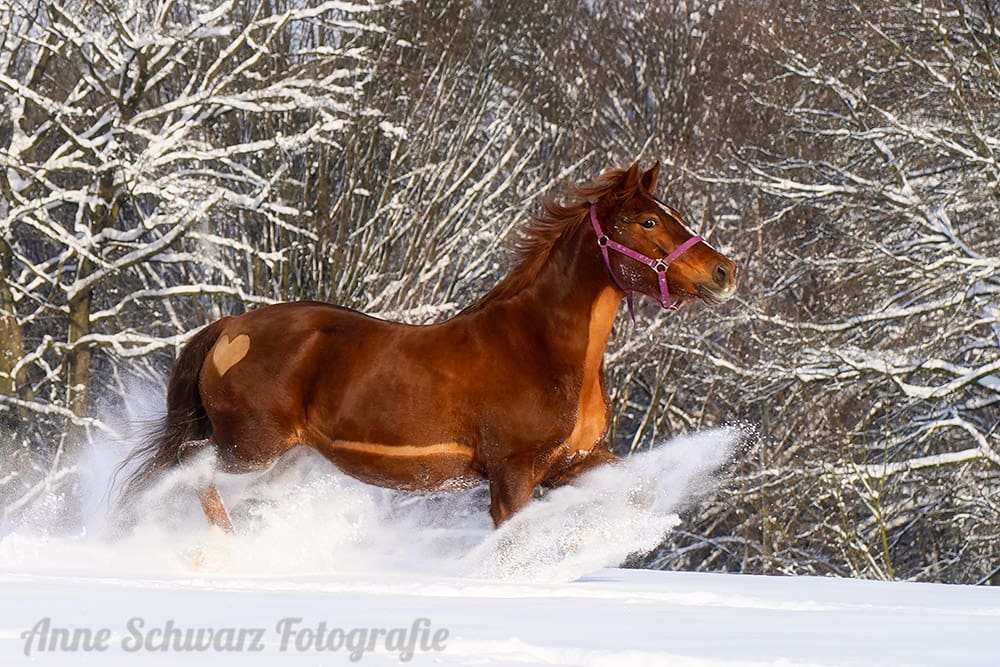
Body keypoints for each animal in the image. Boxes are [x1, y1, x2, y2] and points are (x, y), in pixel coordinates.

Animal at [117, 161, 737, 531]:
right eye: (647, 221)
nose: (724, 273)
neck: (541, 345)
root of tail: (229, 326)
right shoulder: (513, 472)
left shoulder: (571, 462)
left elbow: (636, 494)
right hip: (249, 449)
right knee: (193, 477)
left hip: (279, 459)